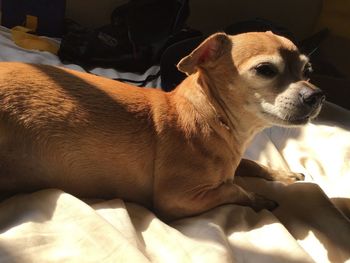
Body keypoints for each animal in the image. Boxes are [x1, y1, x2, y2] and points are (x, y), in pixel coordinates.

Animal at [0, 31, 326, 221]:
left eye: (308, 71)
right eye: (265, 70)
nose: (317, 95)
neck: (213, 118)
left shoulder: (235, 161)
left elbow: (250, 164)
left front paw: (283, 174)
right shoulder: (180, 200)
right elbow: (234, 189)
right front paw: (260, 198)